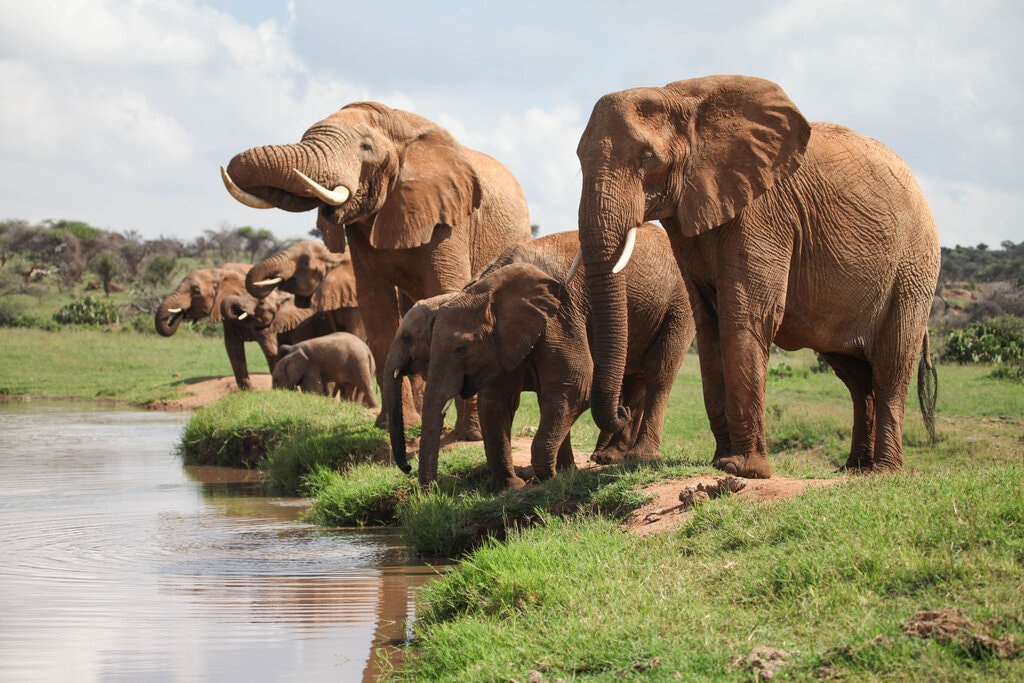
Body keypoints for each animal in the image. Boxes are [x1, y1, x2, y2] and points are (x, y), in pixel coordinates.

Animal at [221, 102, 533, 431]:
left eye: (366, 147)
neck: (400, 124)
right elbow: (375, 304)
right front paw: (394, 426)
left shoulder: (450, 216)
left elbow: (449, 292)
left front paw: (468, 434)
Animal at [414, 227, 695, 491]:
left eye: (460, 348)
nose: (432, 491)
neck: (489, 285)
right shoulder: (507, 337)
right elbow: (499, 399)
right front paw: (516, 486)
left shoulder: (561, 315)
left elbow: (574, 384)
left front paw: (549, 478)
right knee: (633, 378)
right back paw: (608, 456)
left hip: (680, 305)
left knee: (660, 372)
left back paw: (640, 456)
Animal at [575, 74, 941, 479]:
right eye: (579, 158)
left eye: (646, 157)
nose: (622, 412)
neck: (683, 98)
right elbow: (709, 325)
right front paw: (722, 461)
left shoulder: (764, 212)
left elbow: (745, 315)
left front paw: (743, 469)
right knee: (857, 377)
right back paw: (854, 470)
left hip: (914, 269)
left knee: (892, 364)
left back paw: (883, 472)